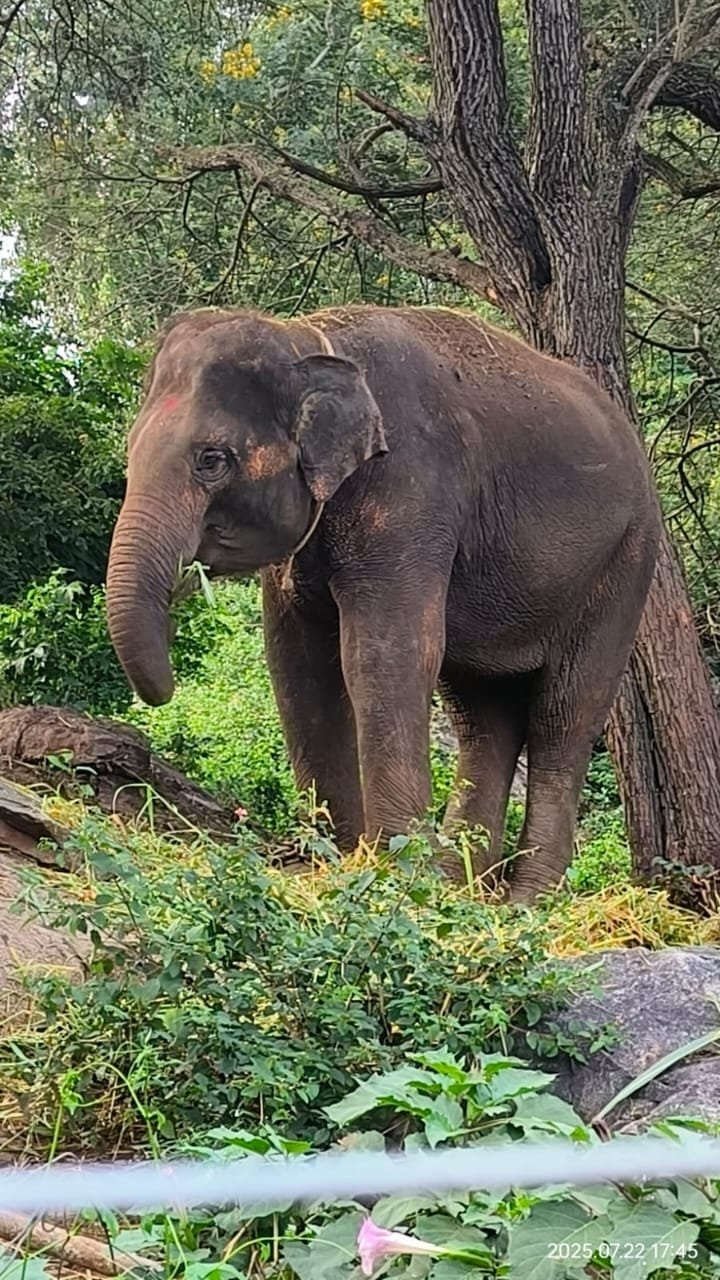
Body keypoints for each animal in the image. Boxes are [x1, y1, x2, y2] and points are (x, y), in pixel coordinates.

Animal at [106, 304, 660, 900]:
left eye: (212, 460)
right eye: (128, 451)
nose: (159, 696)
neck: (306, 335)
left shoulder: (411, 490)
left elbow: (385, 654)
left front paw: (397, 875)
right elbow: (297, 665)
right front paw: (335, 861)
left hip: (625, 564)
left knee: (563, 716)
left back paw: (524, 901)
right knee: (482, 719)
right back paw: (462, 889)